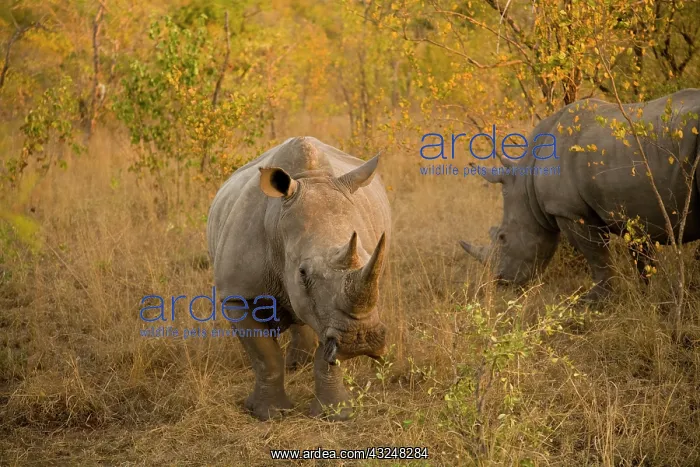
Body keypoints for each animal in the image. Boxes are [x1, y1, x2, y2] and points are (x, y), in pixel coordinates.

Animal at [207, 136, 391, 421]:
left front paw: (335, 414)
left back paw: (299, 364)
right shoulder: (237, 295)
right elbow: (265, 355)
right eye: (302, 273)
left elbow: (327, 357)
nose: (361, 341)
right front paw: (268, 414)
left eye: (368, 257)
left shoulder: (333, 314)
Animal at [460, 89, 700, 302]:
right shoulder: (635, 211)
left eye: (502, 237)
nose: (502, 284)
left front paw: (595, 301)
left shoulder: (569, 211)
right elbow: (642, 257)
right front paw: (647, 295)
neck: (527, 187)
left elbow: (596, 255)